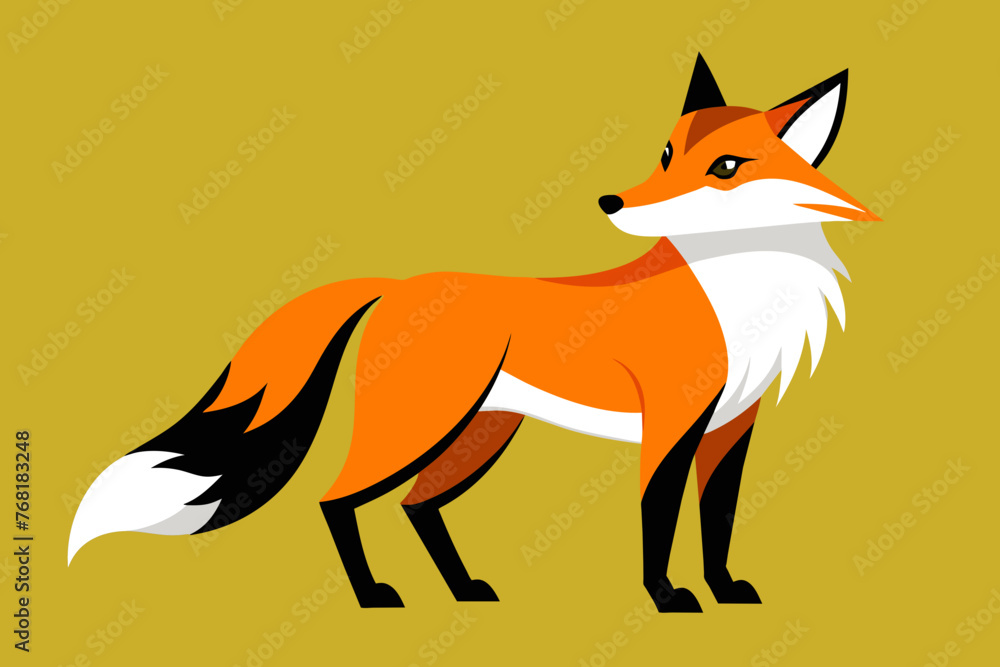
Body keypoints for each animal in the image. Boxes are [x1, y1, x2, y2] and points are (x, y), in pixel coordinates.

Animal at [69, 54, 879, 612]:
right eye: (665, 155)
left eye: (727, 166)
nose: (613, 202)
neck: (743, 289)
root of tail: (398, 285)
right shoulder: (672, 426)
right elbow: (660, 520)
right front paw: (668, 597)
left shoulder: (732, 428)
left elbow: (719, 520)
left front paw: (724, 587)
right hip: (417, 426)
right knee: (337, 499)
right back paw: (372, 595)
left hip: (482, 432)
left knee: (416, 505)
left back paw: (461, 588)